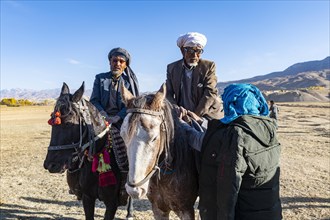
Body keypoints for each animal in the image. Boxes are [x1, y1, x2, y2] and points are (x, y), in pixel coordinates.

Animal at [43, 81, 133, 219]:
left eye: (68, 123)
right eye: (51, 122)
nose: (50, 165)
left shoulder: (112, 203)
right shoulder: (88, 197)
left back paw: (129, 213)